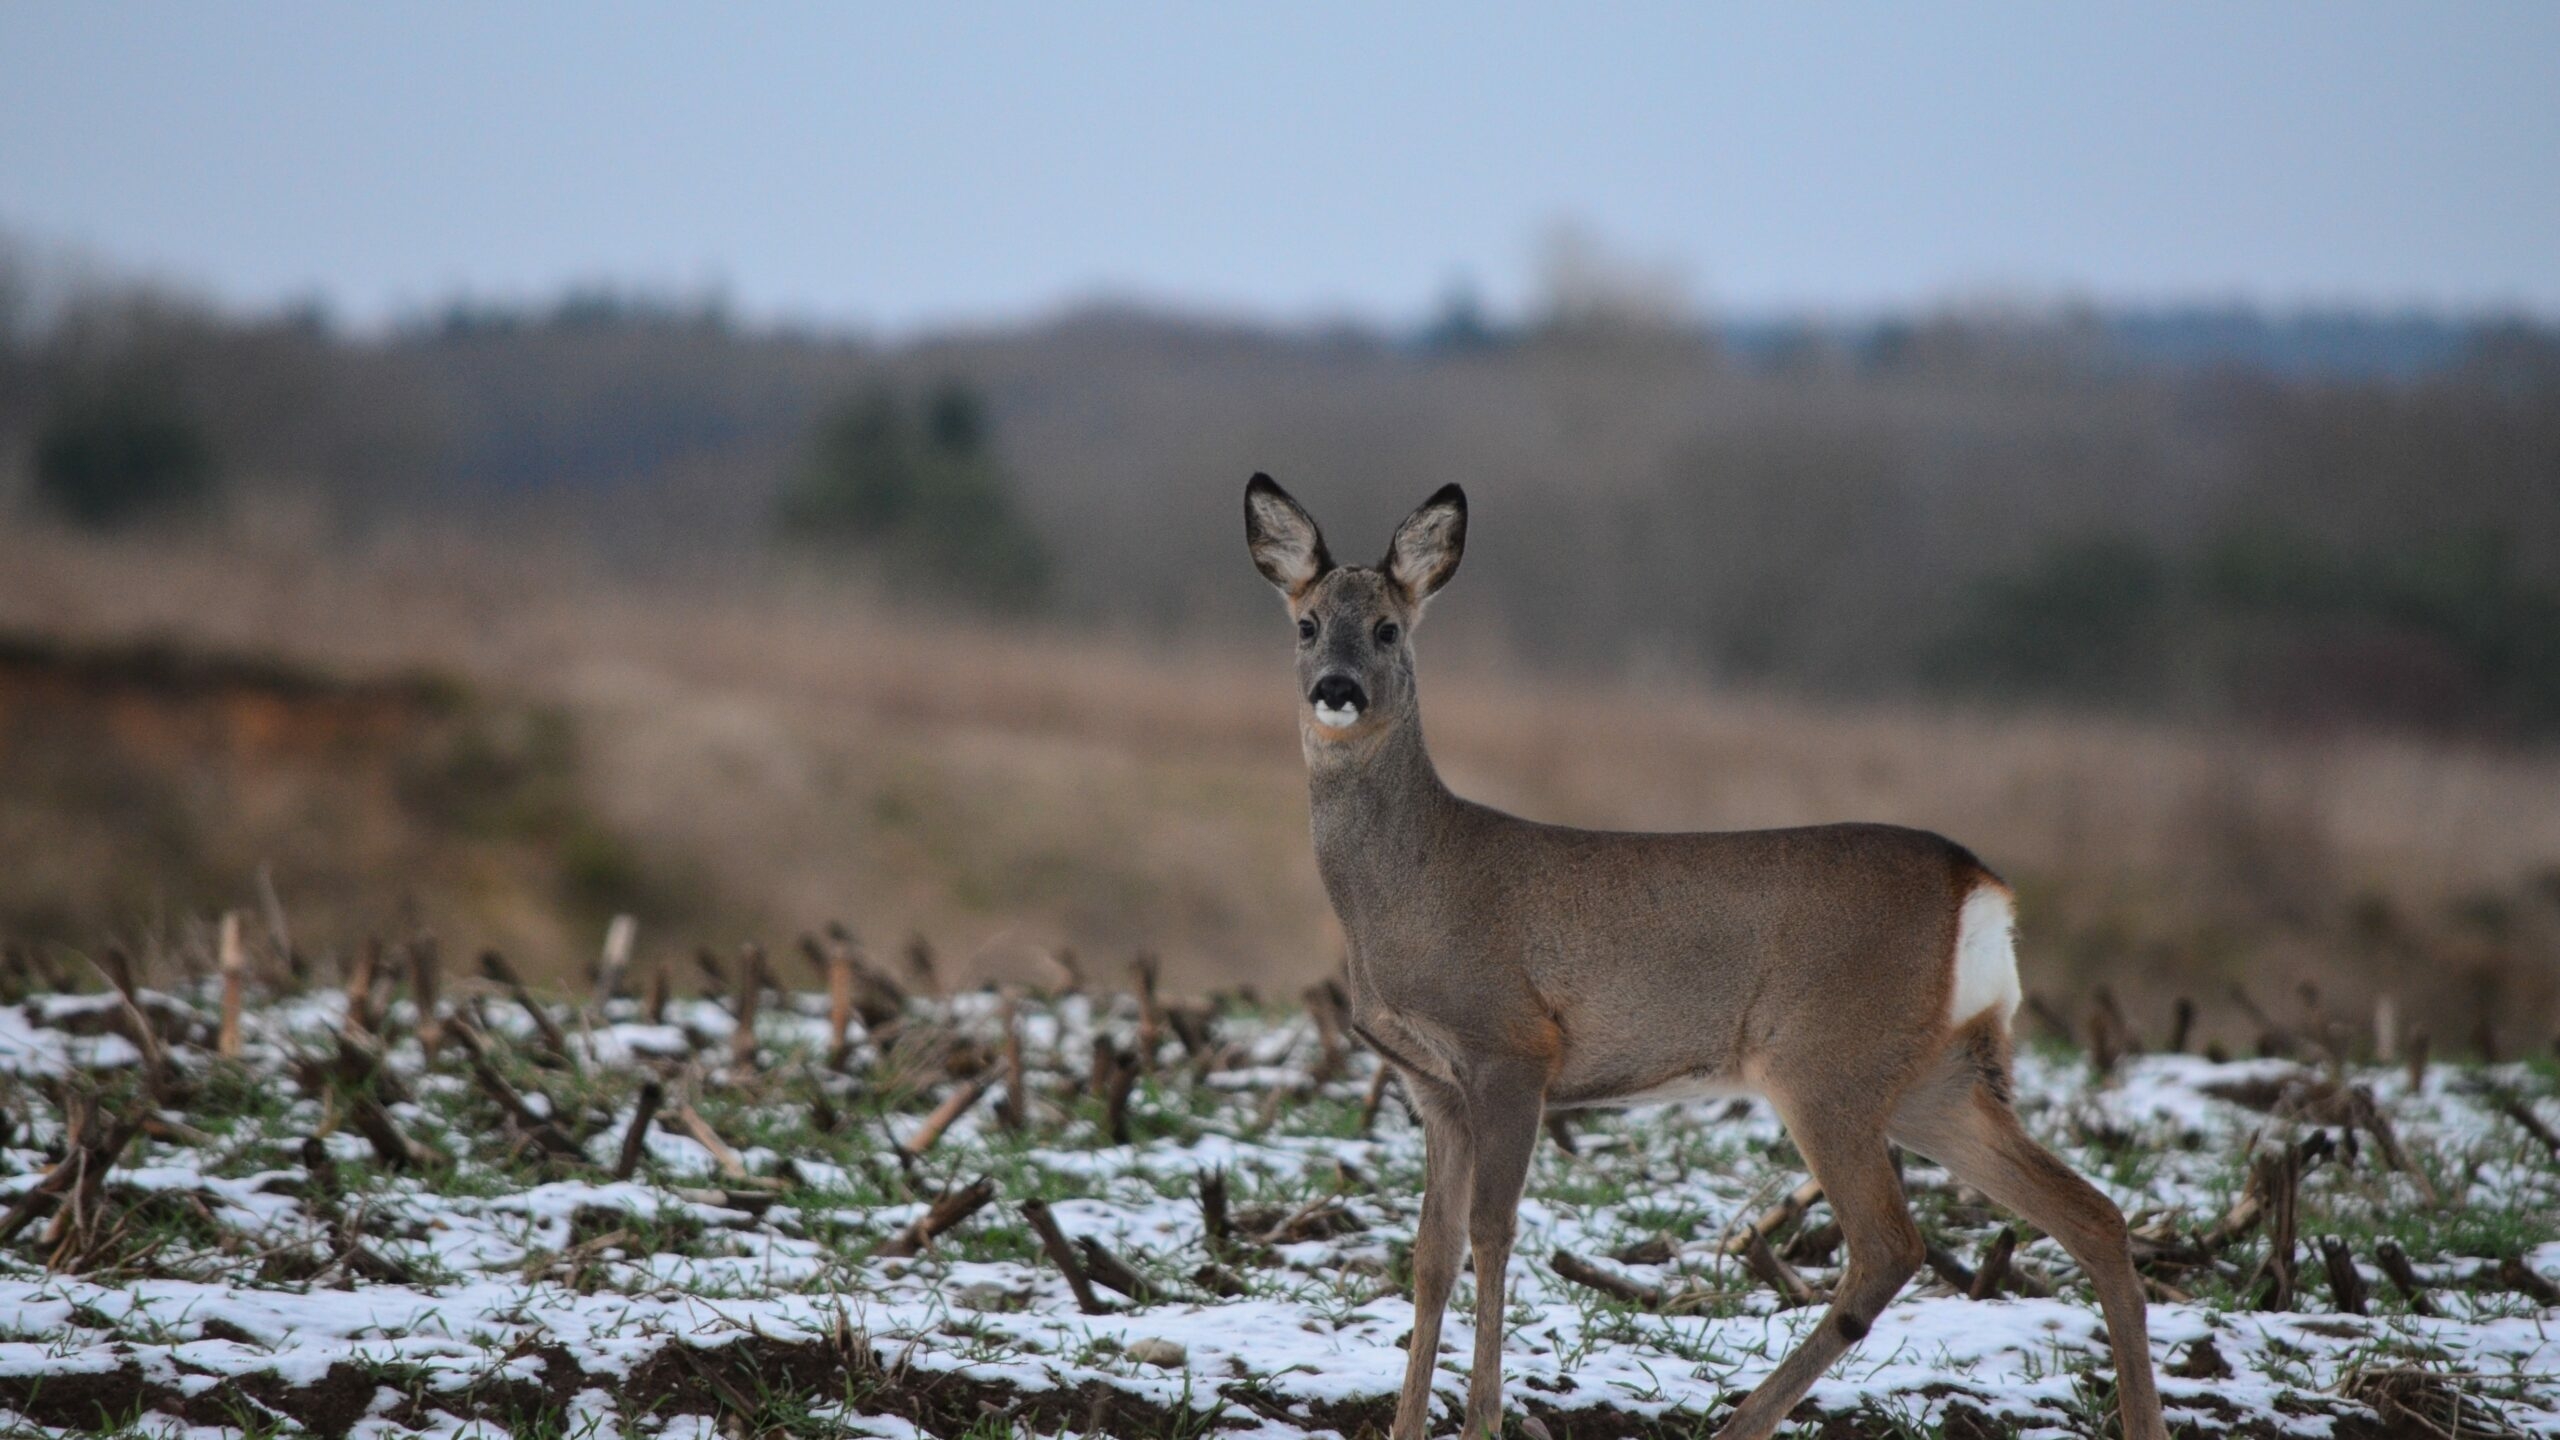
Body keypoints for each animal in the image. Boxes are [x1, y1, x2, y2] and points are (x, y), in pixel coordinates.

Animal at [1239, 476, 2160, 1434]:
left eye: (1389, 627)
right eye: (1306, 625)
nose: (1337, 688)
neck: (1413, 888)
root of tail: (1980, 886)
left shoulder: (1512, 1048)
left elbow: (1492, 1234)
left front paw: (1483, 1417)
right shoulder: (1430, 1083)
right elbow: (1431, 1252)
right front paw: (1409, 1422)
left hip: (1825, 1060)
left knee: (1890, 1245)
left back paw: (1742, 1420)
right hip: (1935, 1077)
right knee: (2094, 1214)